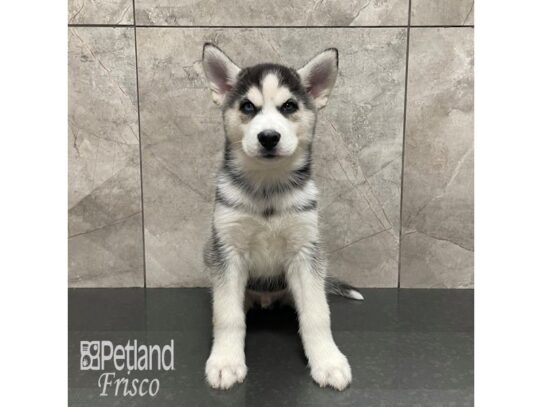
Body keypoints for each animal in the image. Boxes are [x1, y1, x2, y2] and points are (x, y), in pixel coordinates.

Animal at [202, 43, 364, 392]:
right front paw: (226, 361)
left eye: (289, 106)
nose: (268, 137)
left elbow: (317, 314)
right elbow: (227, 315)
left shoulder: (306, 253)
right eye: (248, 106)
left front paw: (327, 361)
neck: (268, 188)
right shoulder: (227, 252)